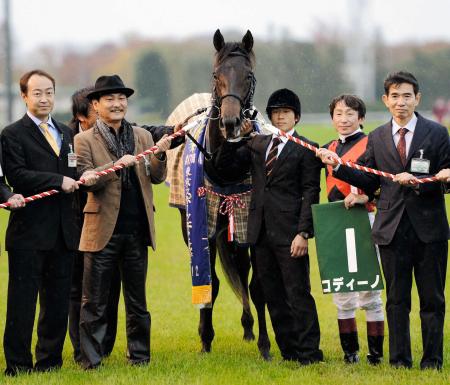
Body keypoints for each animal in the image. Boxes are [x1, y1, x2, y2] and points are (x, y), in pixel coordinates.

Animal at [165, 28, 270, 358]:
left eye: (248, 75)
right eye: (216, 74)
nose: (231, 121)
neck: (226, 165)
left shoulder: (249, 222)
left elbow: (257, 285)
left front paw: (265, 345)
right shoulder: (205, 225)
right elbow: (209, 284)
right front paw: (205, 339)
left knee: (242, 271)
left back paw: (248, 327)